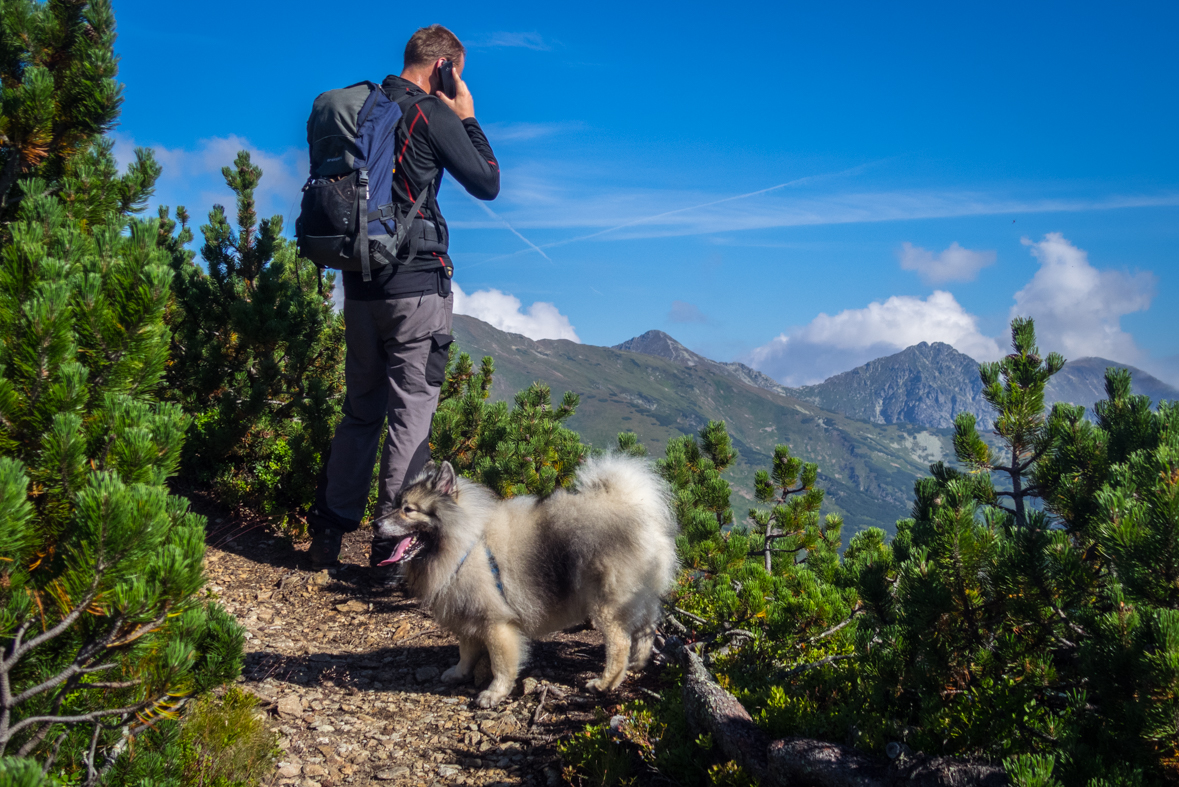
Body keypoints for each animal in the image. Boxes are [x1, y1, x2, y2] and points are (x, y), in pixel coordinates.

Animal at [372, 454, 679, 706]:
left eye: (408, 510)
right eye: (395, 505)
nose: (375, 523)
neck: (466, 544)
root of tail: (635, 509)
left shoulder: (495, 623)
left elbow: (501, 664)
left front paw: (494, 693)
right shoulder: (468, 615)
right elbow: (466, 652)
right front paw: (459, 674)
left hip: (606, 605)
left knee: (619, 643)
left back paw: (605, 683)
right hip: (639, 596)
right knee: (647, 628)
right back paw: (638, 663)